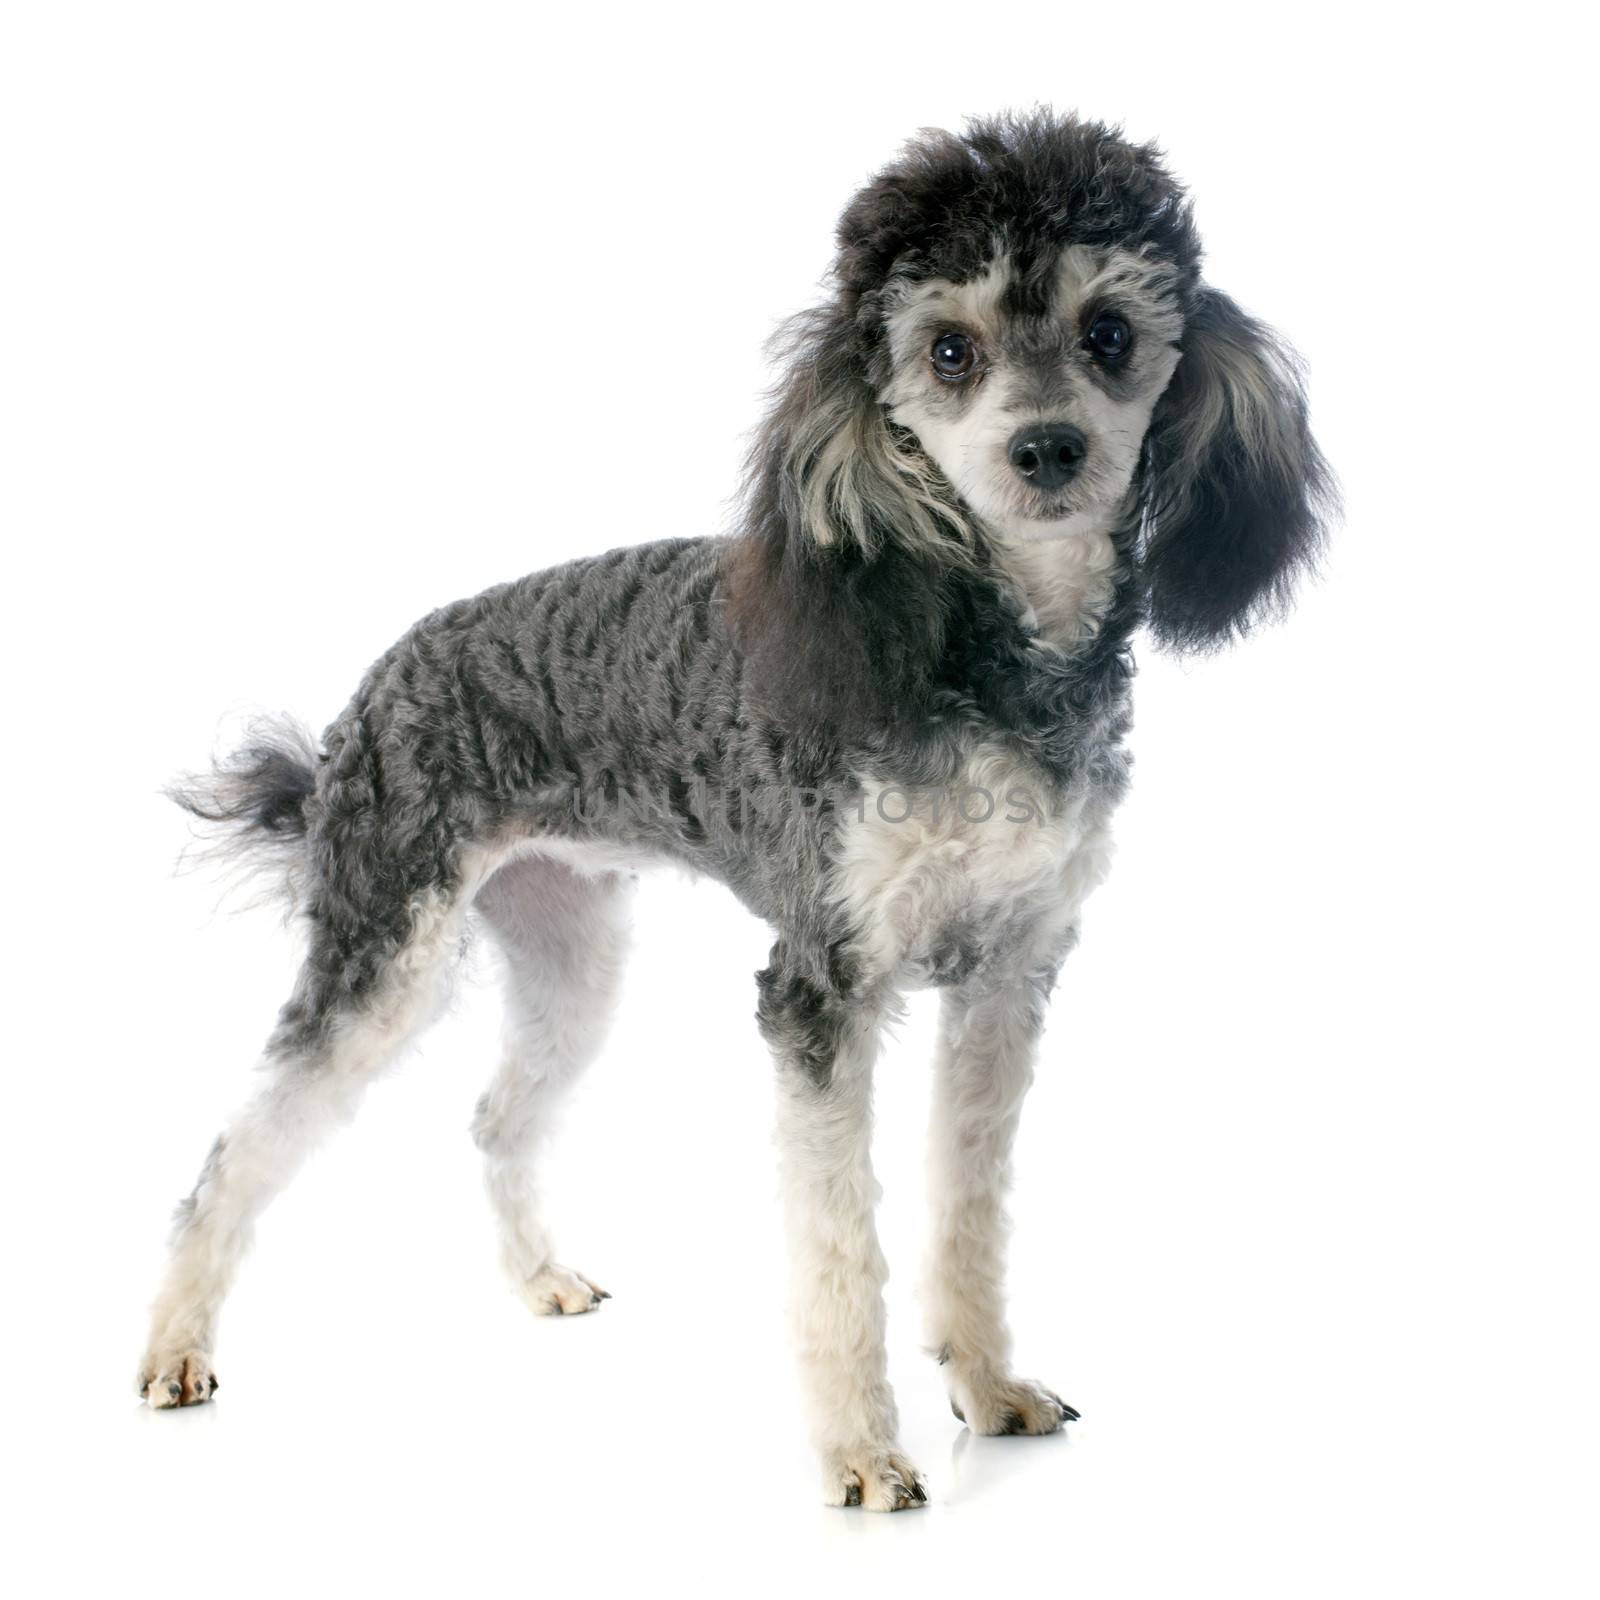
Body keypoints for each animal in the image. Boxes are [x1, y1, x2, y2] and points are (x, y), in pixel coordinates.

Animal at [144, 112, 1331, 1510]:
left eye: (1107, 332)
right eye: (949, 349)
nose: (1047, 448)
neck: (984, 653)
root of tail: (358, 715)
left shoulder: (1006, 979)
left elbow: (968, 1210)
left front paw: (986, 1387)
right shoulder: (820, 988)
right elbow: (838, 1248)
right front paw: (862, 1451)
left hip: (568, 954)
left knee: (495, 1114)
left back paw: (541, 1278)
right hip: (382, 954)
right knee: (232, 1153)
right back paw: (174, 1346)